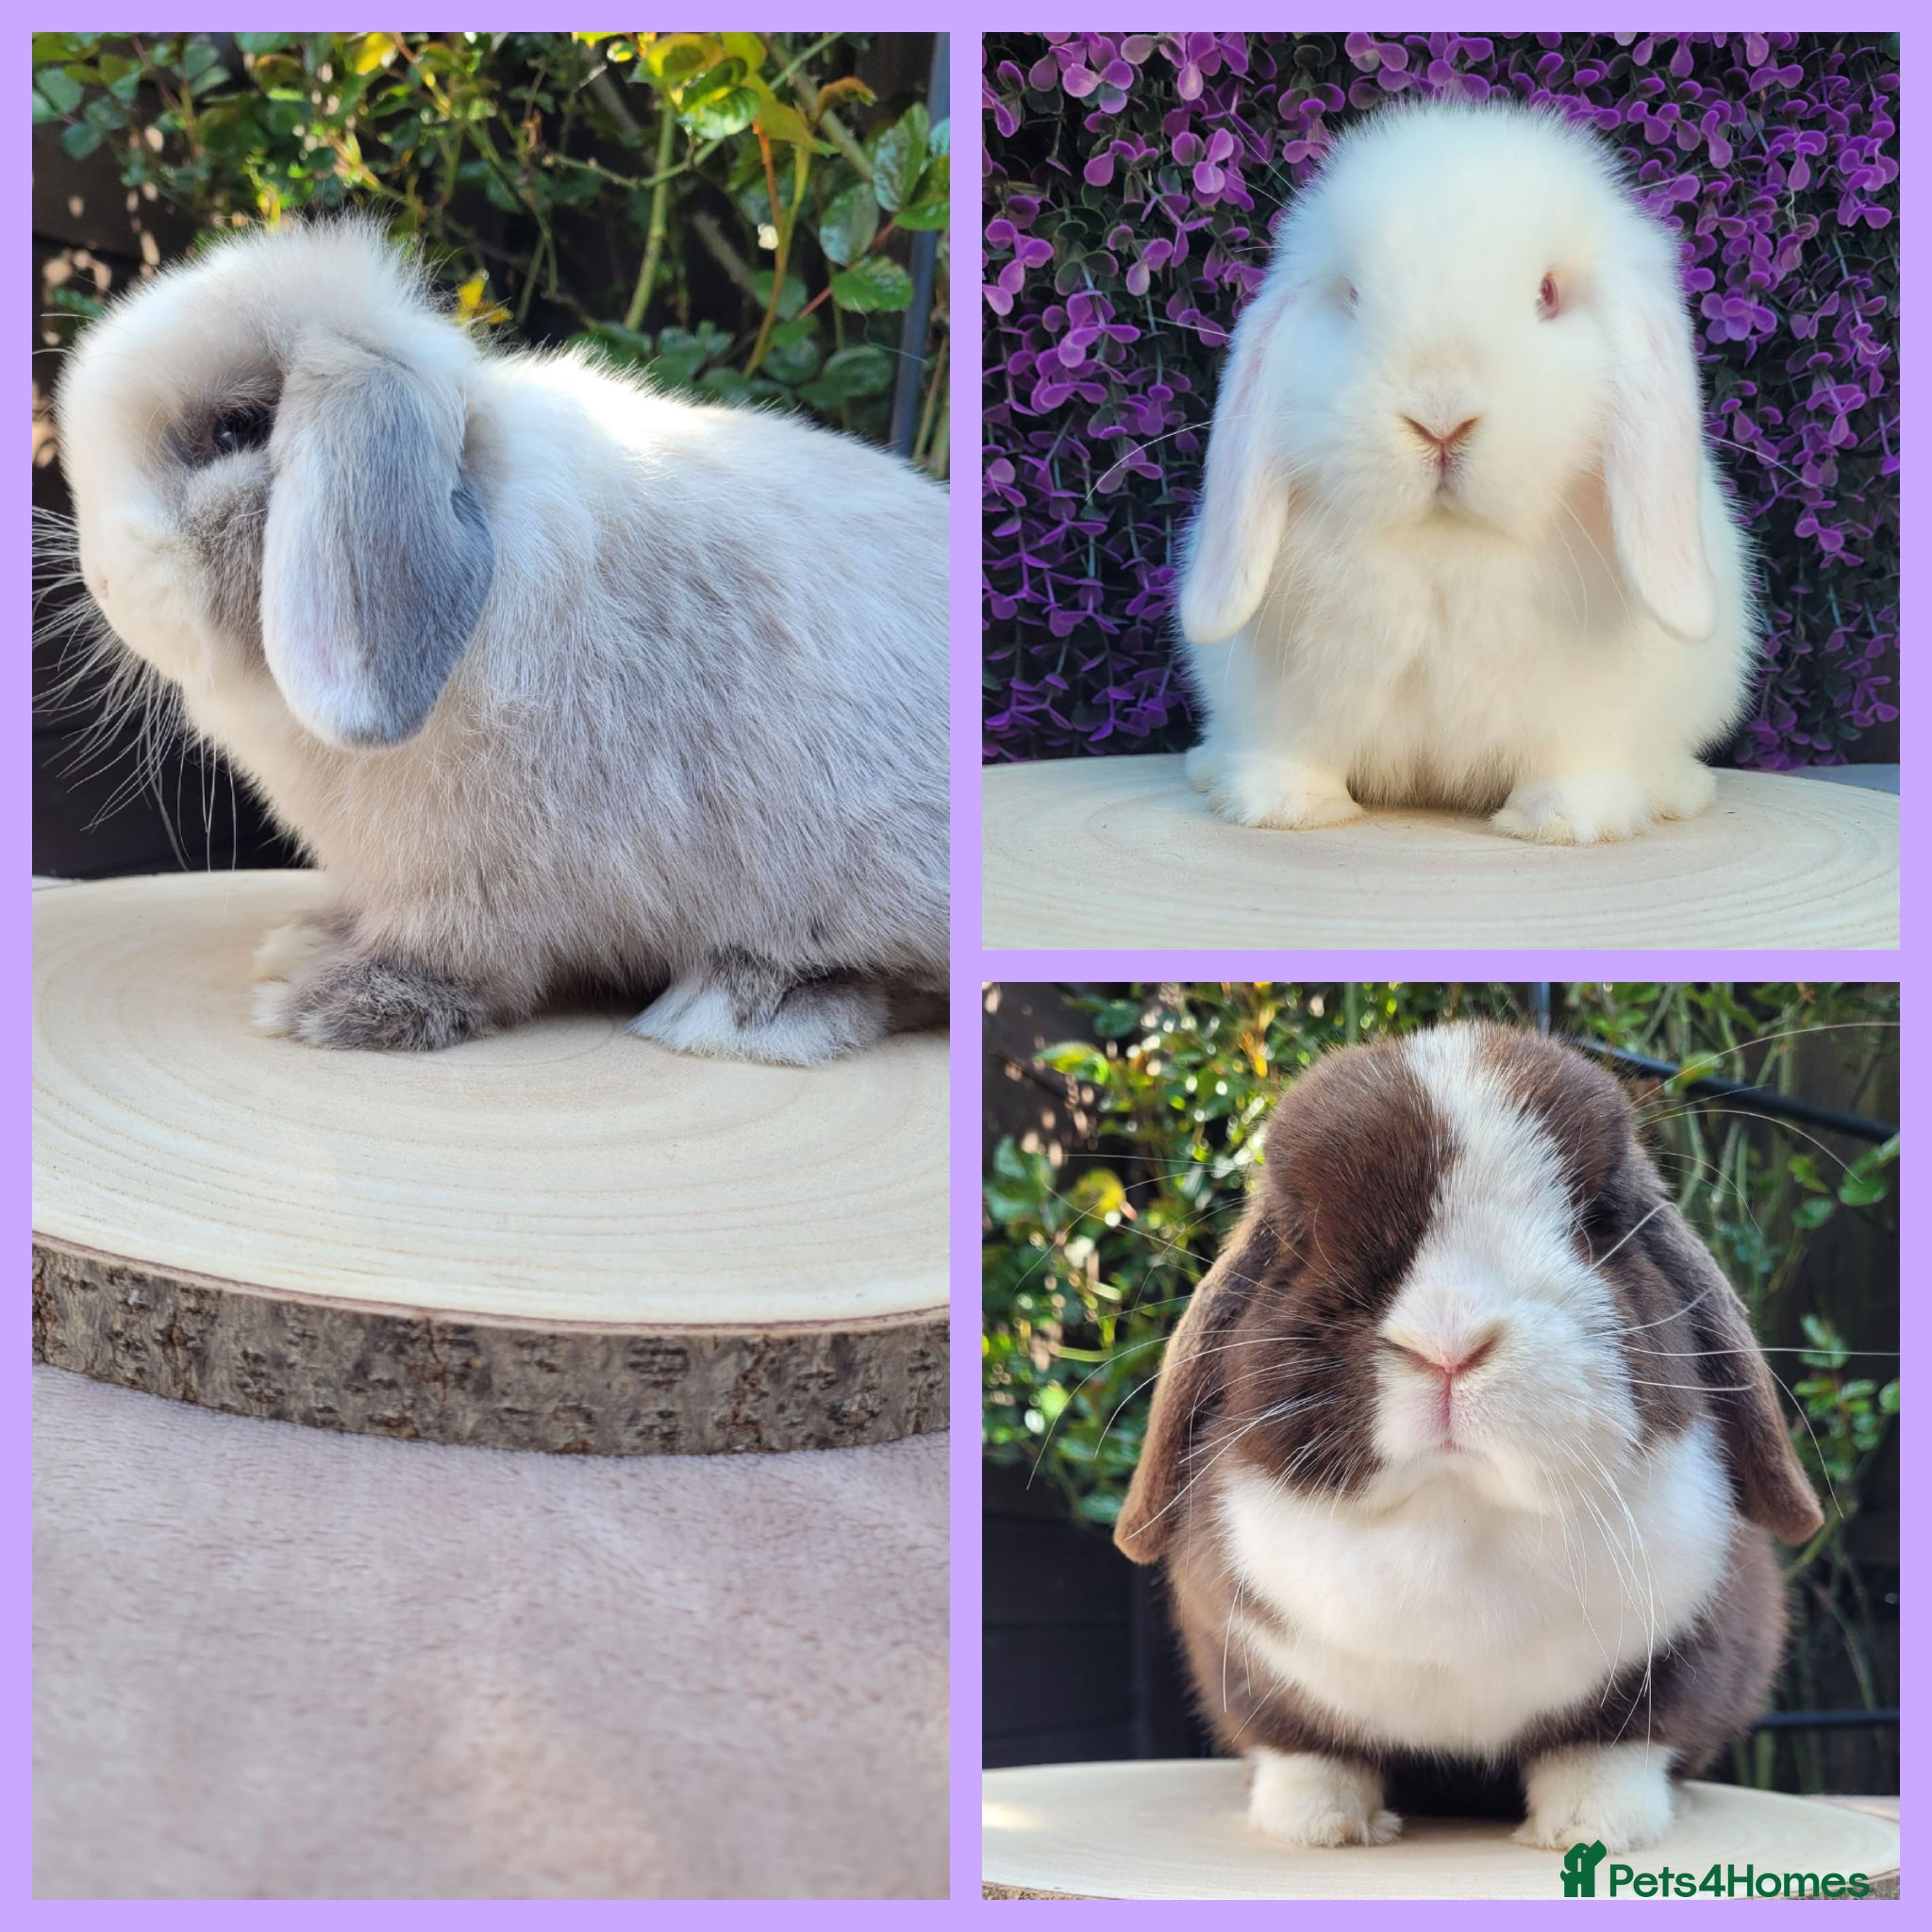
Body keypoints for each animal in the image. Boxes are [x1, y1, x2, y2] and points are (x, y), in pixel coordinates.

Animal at [50, 218, 948, 1063]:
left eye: (236, 429)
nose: (103, 580)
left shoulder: (474, 877)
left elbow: (454, 954)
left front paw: (337, 1004)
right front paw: (307, 940)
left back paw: (737, 1010)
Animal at [1114, 1022, 1821, 1853]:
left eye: (1603, 1217)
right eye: (1298, 1235)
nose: (1447, 1342)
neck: (1454, 1519)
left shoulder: (1679, 1666)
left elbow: (1608, 1749)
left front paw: (1591, 1827)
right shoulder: (1252, 1670)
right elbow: (1310, 1749)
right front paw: (1320, 1825)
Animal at [1176, 99, 1757, 845]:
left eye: (1547, 293)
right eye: (1351, 295)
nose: (1440, 419)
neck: (1444, 544)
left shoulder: (1586, 712)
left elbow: (1576, 758)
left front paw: (1566, 822)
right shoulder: (1290, 697)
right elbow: (1296, 746)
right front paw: (1284, 807)